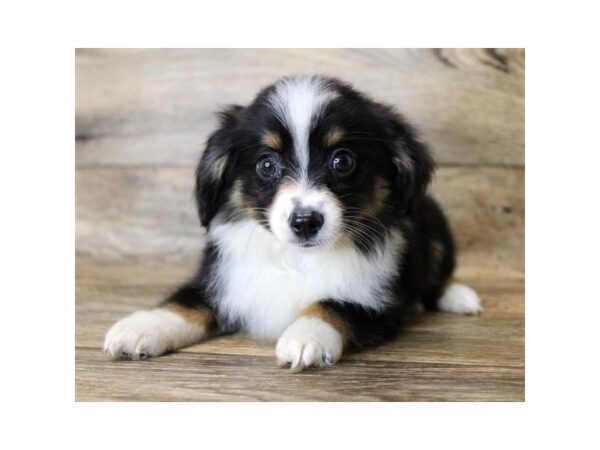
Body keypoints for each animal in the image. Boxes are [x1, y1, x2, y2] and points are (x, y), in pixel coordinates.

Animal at [103, 74, 480, 370]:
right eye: (266, 165)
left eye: (343, 161)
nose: (305, 222)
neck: (297, 258)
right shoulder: (223, 280)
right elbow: (186, 302)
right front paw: (142, 327)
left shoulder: (376, 302)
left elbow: (332, 304)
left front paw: (305, 336)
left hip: (436, 225)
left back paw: (459, 296)